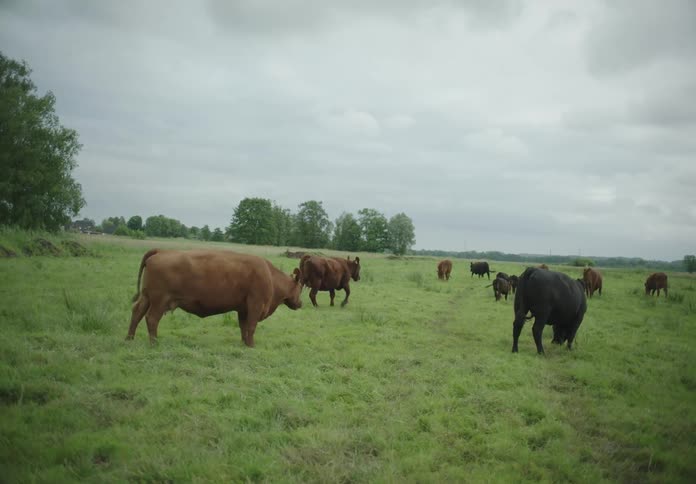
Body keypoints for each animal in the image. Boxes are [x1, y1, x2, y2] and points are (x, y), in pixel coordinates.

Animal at [126, 249, 303, 347]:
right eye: (300, 288)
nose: (300, 303)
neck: (270, 276)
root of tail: (161, 251)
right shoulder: (255, 305)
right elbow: (251, 326)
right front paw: (251, 345)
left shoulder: (243, 309)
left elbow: (244, 327)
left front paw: (244, 343)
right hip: (159, 301)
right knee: (151, 318)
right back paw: (154, 343)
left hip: (146, 297)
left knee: (137, 313)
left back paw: (129, 339)